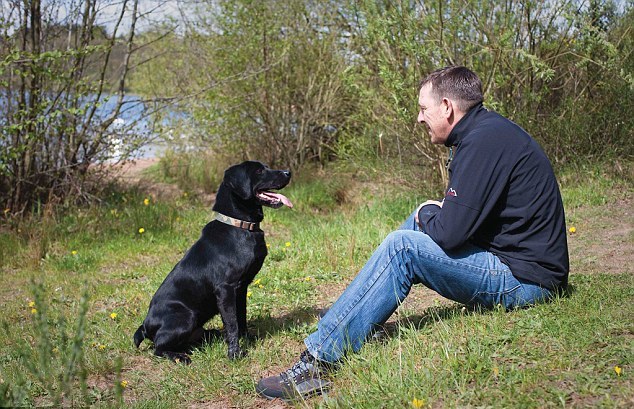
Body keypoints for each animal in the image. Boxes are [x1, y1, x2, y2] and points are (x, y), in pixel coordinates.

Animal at [135, 161, 292, 362]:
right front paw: (235, 354)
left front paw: (247, 339)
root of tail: (145, 327)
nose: (288, 172)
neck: (240, 227)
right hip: (186, 316)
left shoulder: (241, 288)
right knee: (158, 348)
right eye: (259, 170)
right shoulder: (225, 289)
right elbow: (232, 323)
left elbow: (241, 317)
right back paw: (180, 357)